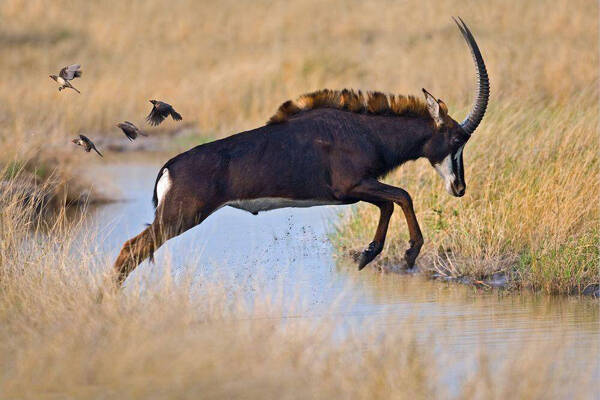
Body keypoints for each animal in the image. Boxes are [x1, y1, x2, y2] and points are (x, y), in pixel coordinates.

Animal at [112, 17, 488, 286]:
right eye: (457, 140)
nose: (459, 187)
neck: (367, 131)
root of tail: (169, 166)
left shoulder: (356, 191)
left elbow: (389, 203)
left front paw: (368, 254)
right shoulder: (351, 186)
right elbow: (402, 196)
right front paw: (408, 254)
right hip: (179, 217)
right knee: (131, 250)